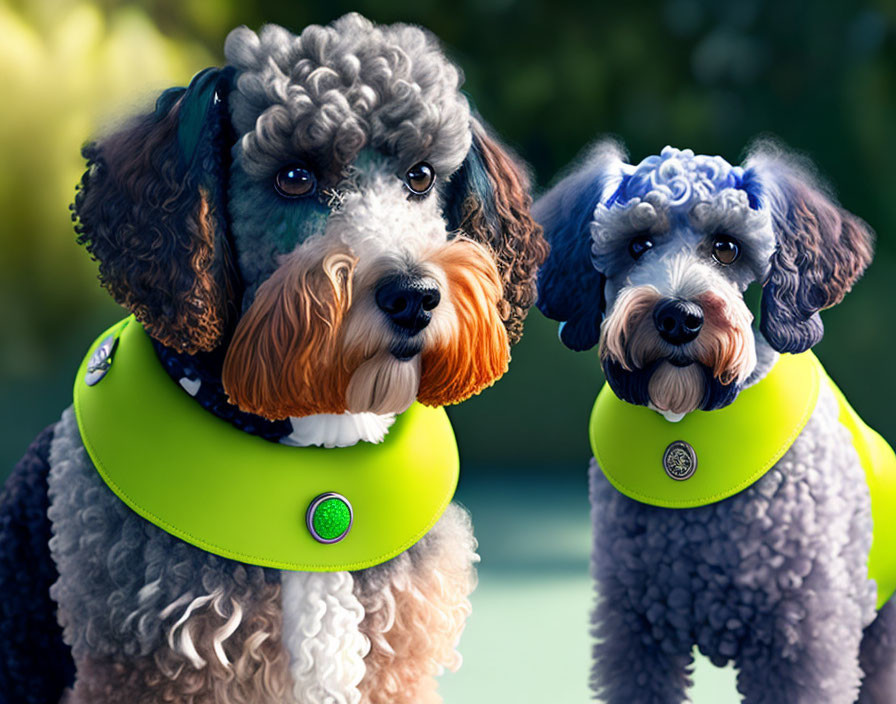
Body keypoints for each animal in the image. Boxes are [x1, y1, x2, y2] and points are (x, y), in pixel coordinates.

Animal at [0, 13, 544, 700]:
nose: (414, 296)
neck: (321, 436)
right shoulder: (145, 669)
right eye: (294, 177)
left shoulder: (396, 662)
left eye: (420, 176)